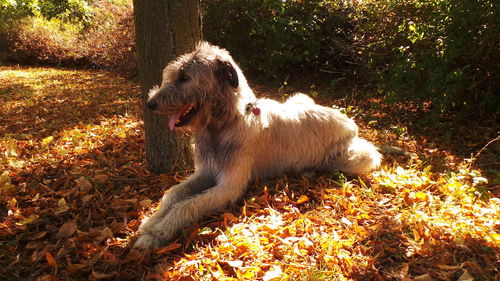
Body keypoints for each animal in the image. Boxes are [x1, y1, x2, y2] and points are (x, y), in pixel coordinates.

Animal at [135, 41, 380, 247]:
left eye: (185, 77)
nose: (151, 103)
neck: (225, 123)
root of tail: (347, 119)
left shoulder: (228, 186)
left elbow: (187, 205)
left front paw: (158, 233)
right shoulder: (206, 171)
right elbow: (174, 194)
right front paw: (150, 223)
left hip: (360, 156)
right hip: (298, 98)